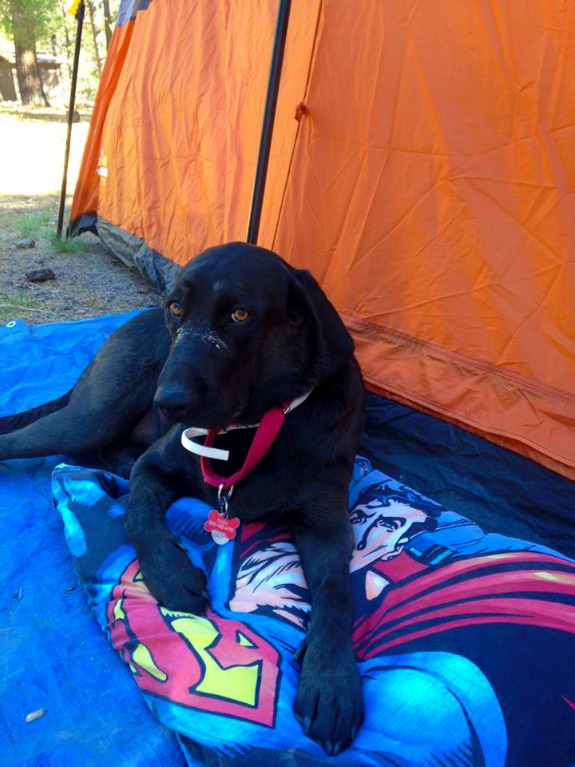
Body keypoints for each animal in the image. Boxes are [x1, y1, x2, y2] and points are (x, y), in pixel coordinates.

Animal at [1, 244, 364, 756]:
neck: (251, 432)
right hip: (95, 414)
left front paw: (331, 680)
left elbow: (335, 592)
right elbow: (136, 513)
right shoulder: (158, 466)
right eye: (175, 308)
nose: (167, 400)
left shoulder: (327, 522)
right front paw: (170, 575)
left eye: (240, 314)